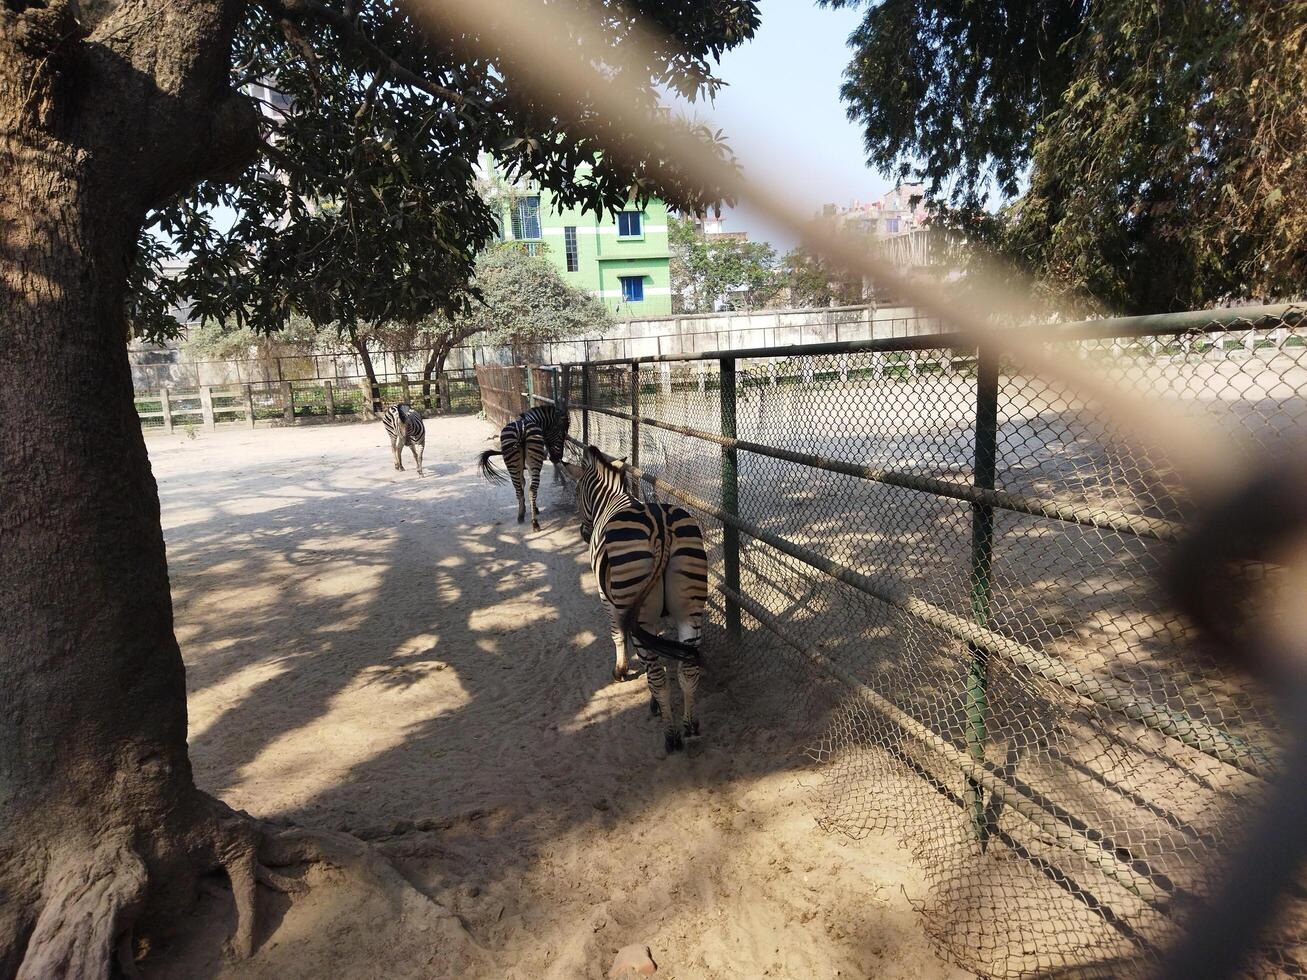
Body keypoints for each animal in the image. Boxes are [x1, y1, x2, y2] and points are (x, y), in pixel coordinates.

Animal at [562, 449, 705, 757]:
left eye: (578, 492)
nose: (583, 533)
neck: (610, 500)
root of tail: (661, 525)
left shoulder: (607, 598)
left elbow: (617, 635)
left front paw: (620, 671)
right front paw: (653, 702)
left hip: (639, 612)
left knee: (659, 675)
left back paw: (671, 736)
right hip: (690, 610)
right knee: (687, 669)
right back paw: (690, 726)